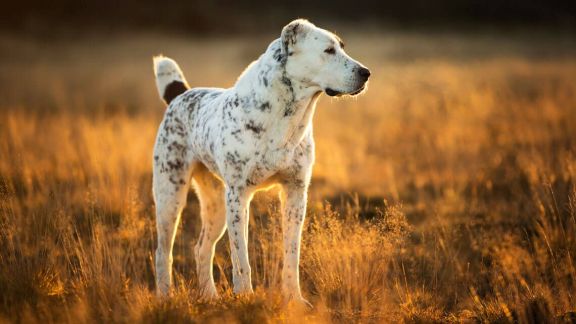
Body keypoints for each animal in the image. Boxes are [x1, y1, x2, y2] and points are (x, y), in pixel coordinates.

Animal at [151, 18, 372, 306]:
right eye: (328, 50)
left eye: (342, 47)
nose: (366, 73)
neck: (286, 118)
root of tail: (179, 95)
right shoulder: (238, 196)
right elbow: (241, 258)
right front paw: (245, 297)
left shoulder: (295, 193)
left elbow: (292, 255)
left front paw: (295, 299)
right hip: (171, 196)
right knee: (162, 252)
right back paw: (165, 297)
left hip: (216, 204)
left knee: (202, 249)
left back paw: (210, 297)